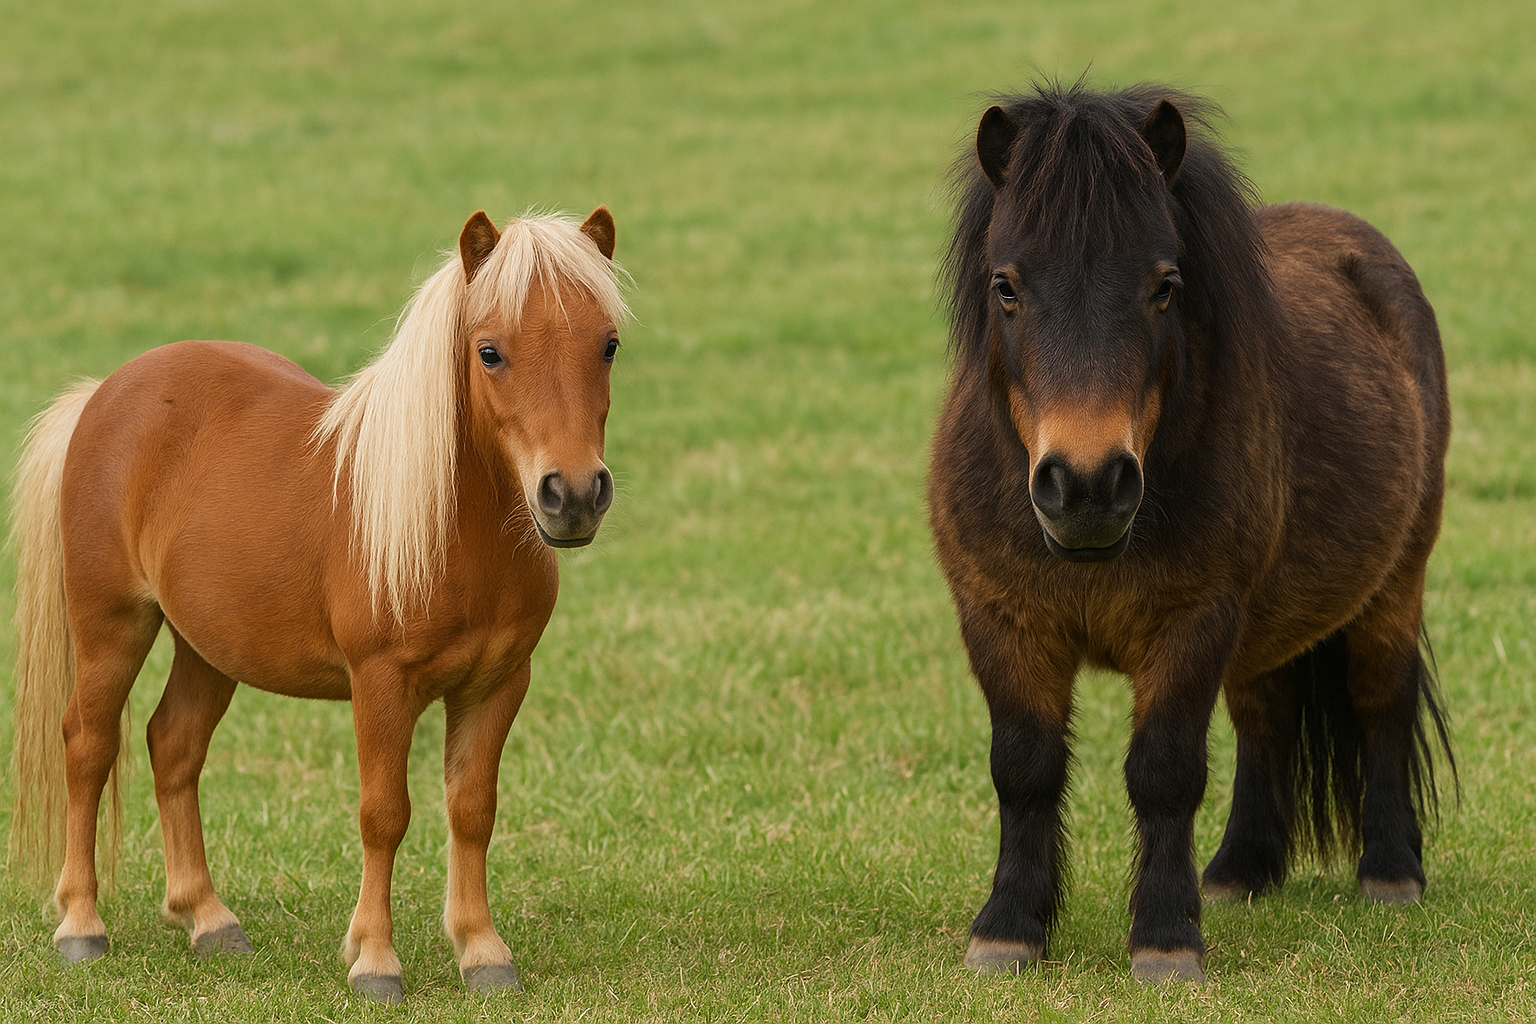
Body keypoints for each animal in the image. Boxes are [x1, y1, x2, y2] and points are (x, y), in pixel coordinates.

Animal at [8, 207, 629, 1002]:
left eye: (607, 345)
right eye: (490, 352)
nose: (573, 496)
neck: (448, 527)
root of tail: (102, 395)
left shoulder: (497, 684)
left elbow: (472, 810)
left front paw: (483, 952)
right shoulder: (382, 684)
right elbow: (384, 814)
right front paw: (375, 961)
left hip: (208, 646)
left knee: (173, 746)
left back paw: (207, 919)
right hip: (111, 627)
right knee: (88, 746)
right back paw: (81, 926)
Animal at [927, 83, 1453, 983]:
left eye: (1164, 286)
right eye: (1006, 286)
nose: (1087, 486)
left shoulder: (1193, 620)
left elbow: (1165, 772)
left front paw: (1166, 939)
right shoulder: (1001, 620)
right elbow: (1024, 768)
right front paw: (1008, 930)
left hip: (1394, 582)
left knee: (1378, 699)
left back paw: (1390, 873)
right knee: (1266, 716)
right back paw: (1239, 870)